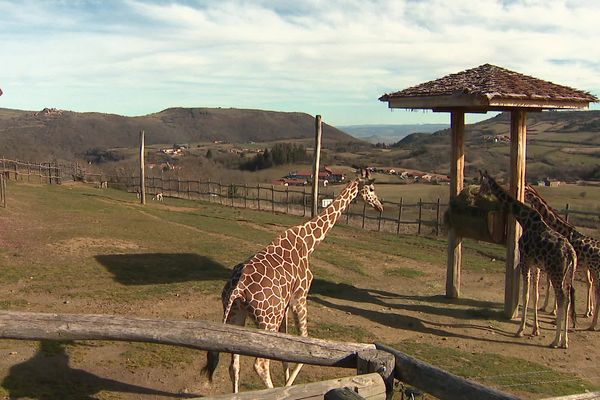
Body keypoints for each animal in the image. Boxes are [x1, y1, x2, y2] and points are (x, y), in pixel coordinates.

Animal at [199, 170, 382, 394]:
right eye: (372, 188)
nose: (380, 206)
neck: (308, 242)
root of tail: (238, 288)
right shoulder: (299, 297)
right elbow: (305, 344)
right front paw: (288, 386)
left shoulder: (285, 306)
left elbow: (285, 353)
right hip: (267, 319)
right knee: (260, 364)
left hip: (237, 313)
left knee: (234, 364)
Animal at [478, 170, 576, 348]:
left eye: (482, 182)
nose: (479, 193)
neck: (524, 219)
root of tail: (571, 253)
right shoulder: (535, 264)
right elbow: (535, 294)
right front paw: (535, 329)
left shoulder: (525, 259)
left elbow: (525, 294)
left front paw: (520, 330)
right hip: (567, 274)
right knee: (568, 299)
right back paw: (565, 341)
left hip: (555, 273)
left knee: (562, 298)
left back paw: (556, 341)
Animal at [524, 184, 600, 328]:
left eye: (525, 188)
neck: (560, 228)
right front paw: (550, 310)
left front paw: (554, 314)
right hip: (589, 268)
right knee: (591, 284)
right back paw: (589, 312)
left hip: (595, 269)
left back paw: (592, 324)